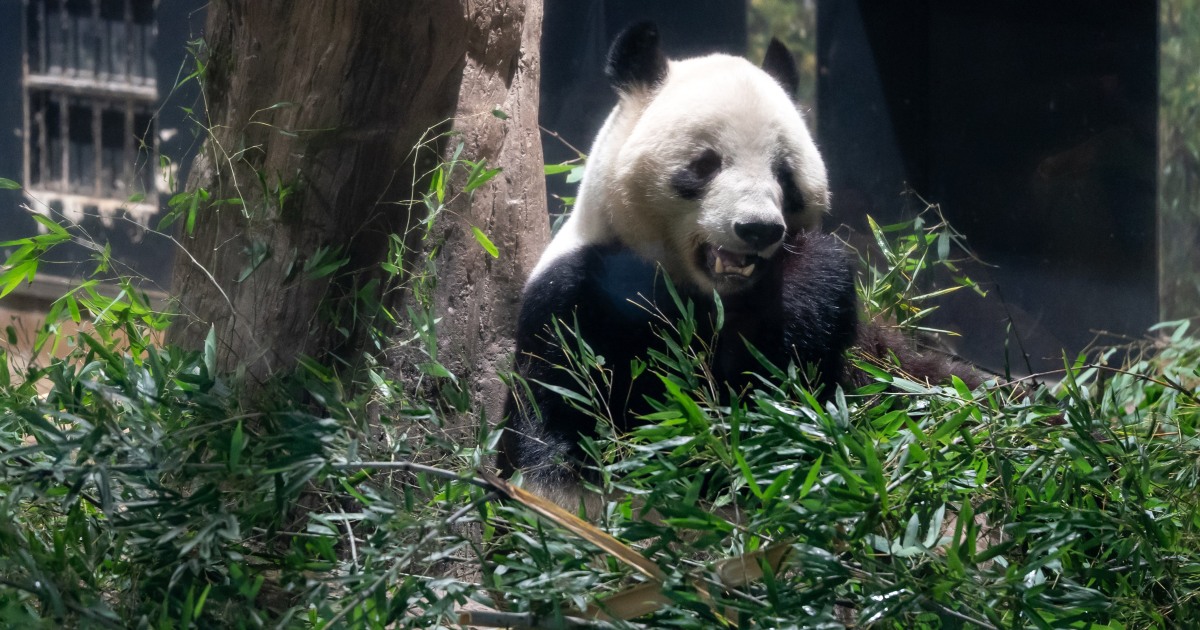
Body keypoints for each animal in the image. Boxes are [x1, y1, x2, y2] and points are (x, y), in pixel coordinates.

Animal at [498, 22, 965, 510]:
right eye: (706, 164)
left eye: (784, 174)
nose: (758, 229)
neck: (708, 294)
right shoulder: (579, 301)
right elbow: (587, 424)